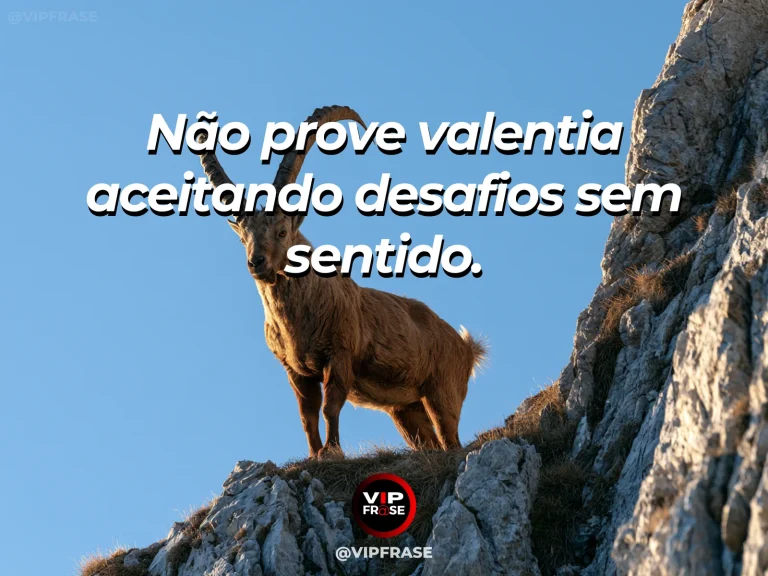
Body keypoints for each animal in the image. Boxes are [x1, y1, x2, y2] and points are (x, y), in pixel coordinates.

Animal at [199, 106, 486, 458]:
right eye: (243, 237)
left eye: (281, 231)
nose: (257, 263)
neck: (299, 318)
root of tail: (467, 347)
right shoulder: (295, 370)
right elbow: (307, 414)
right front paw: (314, 454)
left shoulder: (339, 357)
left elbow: (330, 407)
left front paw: (332, 451)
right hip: (405, 409)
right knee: (429, 442)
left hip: (442, 392)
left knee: (451, 438)